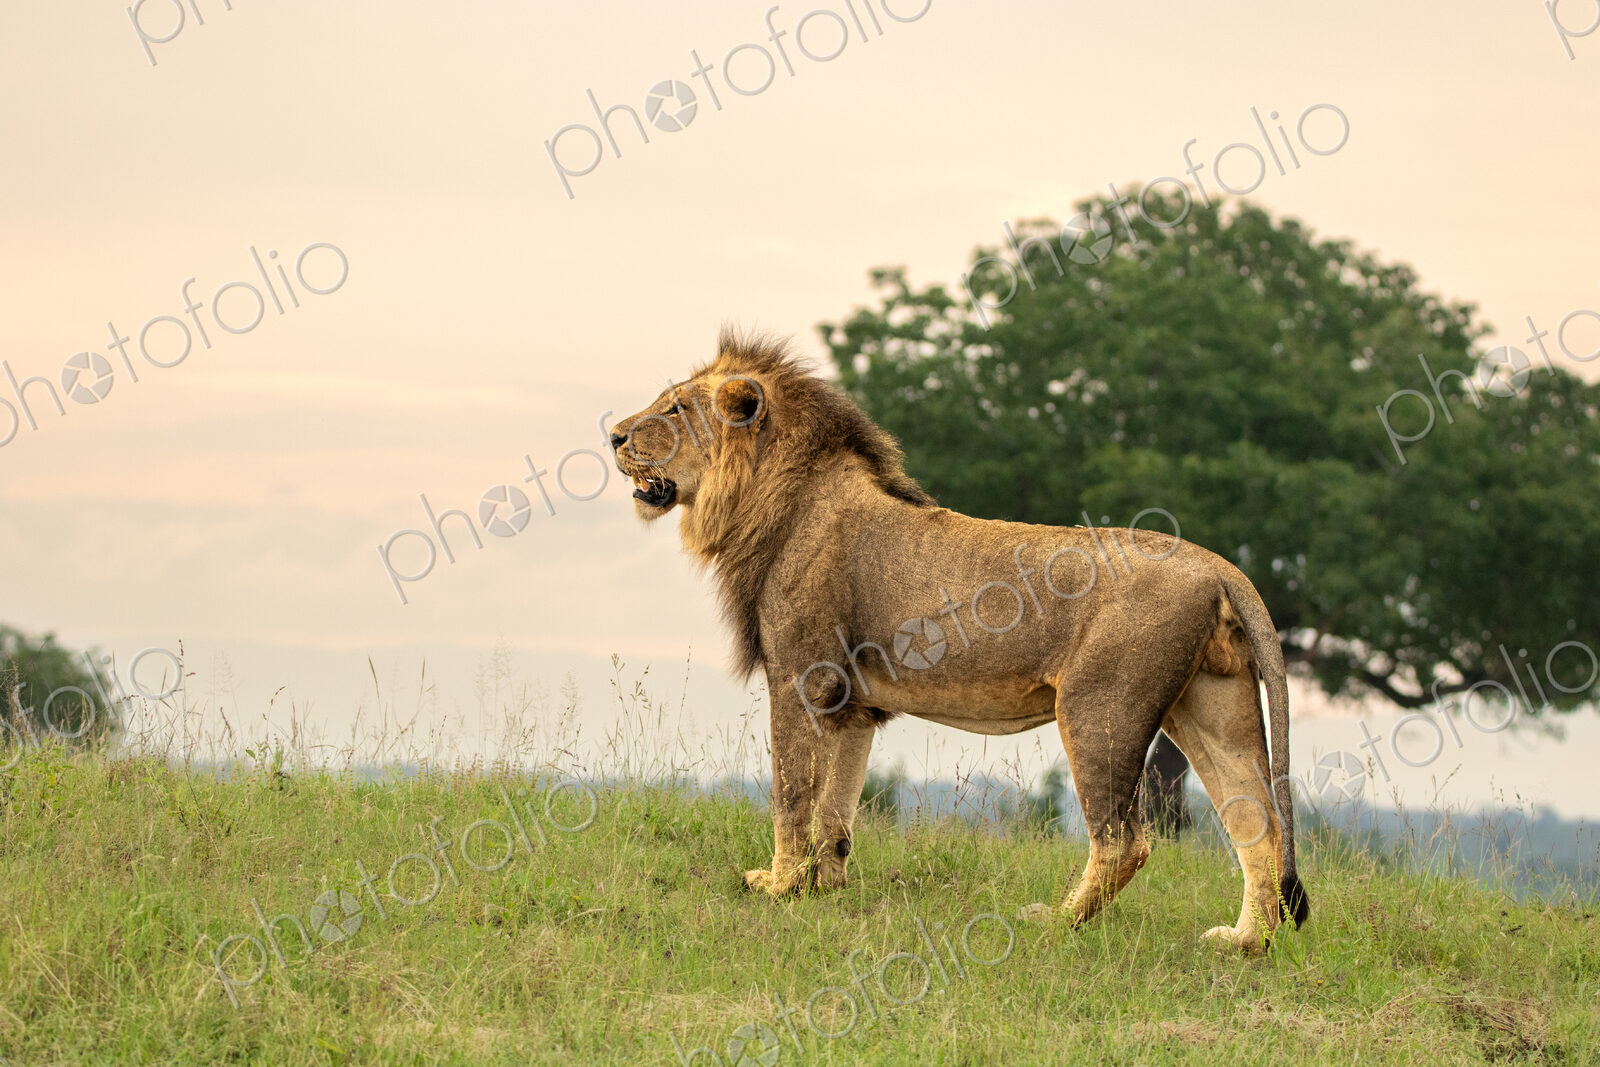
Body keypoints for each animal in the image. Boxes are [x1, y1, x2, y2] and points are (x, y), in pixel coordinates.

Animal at [609, 331, 1309, 950]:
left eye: (675, 409)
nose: (612, 435)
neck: (766, 500)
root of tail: (1219, 567)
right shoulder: (852, 704)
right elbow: (836, 809)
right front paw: (821, 889)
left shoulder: (800, 678)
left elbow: (791, 794)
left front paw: (777, 886)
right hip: (1211, 708)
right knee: (1258, 822)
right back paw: (1243, 942)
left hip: (1098, 707)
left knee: (1125, 841)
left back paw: (1052, 924)